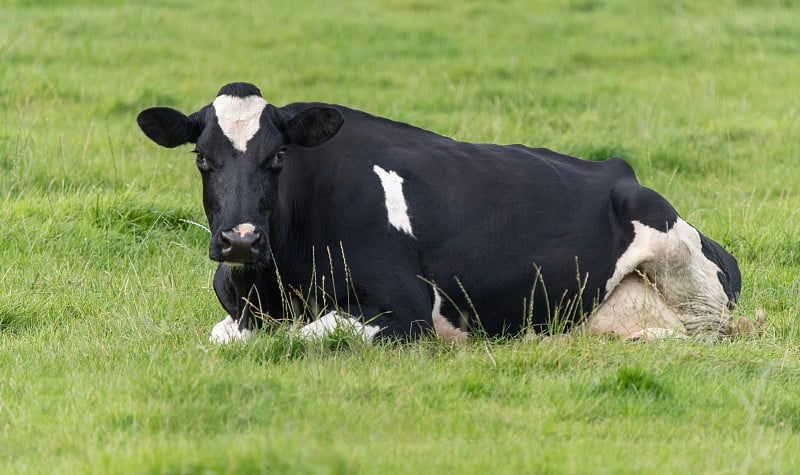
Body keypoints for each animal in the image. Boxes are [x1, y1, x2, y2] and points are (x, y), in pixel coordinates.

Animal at [134, 82, 740, 346]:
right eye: (201, 157)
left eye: (278, 155)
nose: (239, 240)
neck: (274, 282)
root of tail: (621, 173)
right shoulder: (237, 308)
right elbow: (228, 336)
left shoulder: (406, 308)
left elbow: (308, 335)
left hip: (687, 273)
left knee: (706, 331)